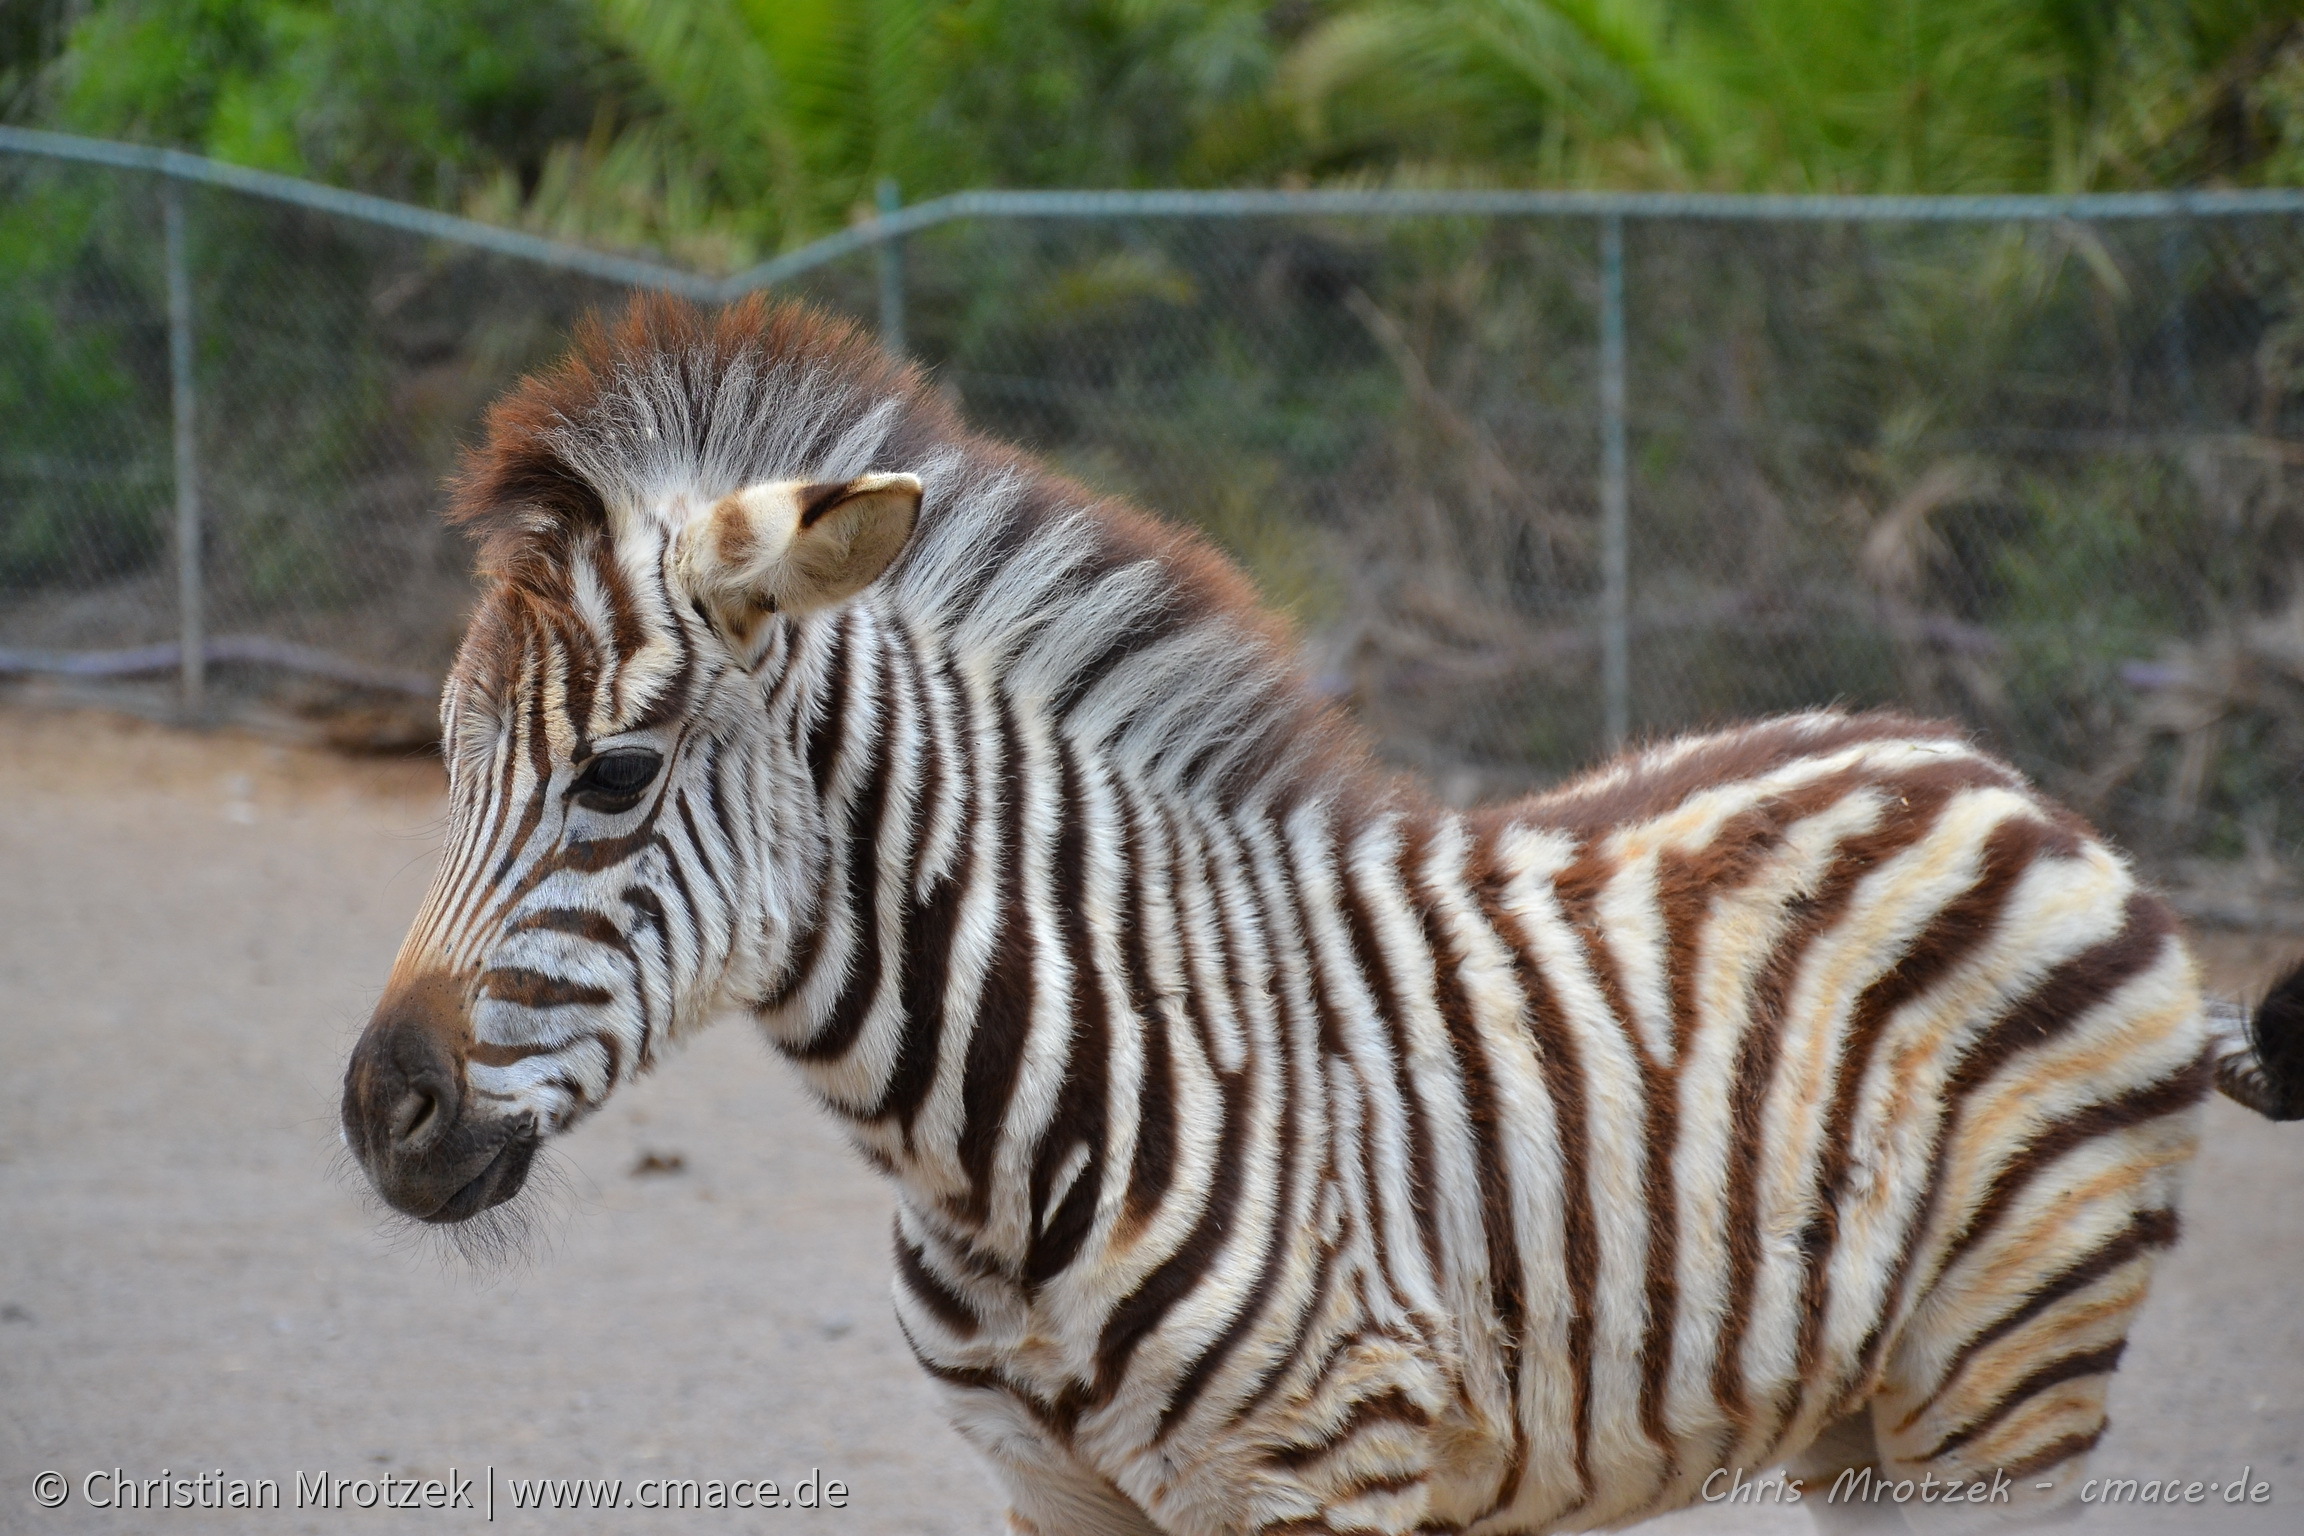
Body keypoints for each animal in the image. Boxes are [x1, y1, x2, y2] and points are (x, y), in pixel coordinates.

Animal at [340, 294, 2304, 1529]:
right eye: (439, 759)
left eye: (614, 777)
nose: (381, 1114)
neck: (1005, 1133)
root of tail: (1998, 778)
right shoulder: (1053, 1500)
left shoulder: (1326, 1473)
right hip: (1858, 1417)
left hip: (2007, 1370)